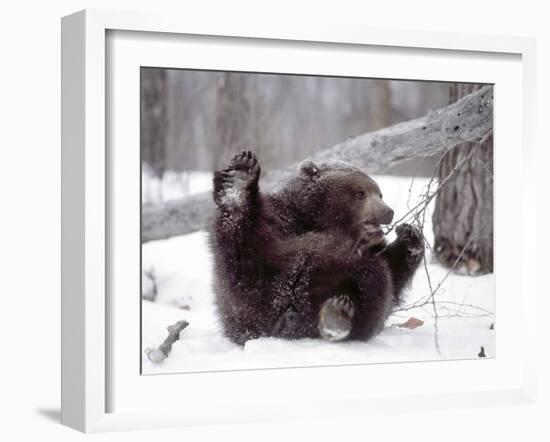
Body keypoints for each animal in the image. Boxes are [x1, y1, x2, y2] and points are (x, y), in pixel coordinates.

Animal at [209, 151, 424, 346]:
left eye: (379, 193)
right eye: (360, 193)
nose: (388, 211)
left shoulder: (372, 249)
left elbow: (393, 278)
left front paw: (411, 238)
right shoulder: (280, 220)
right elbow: (243, 259)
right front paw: (239, 179)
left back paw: (336, 315)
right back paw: (239, 183)